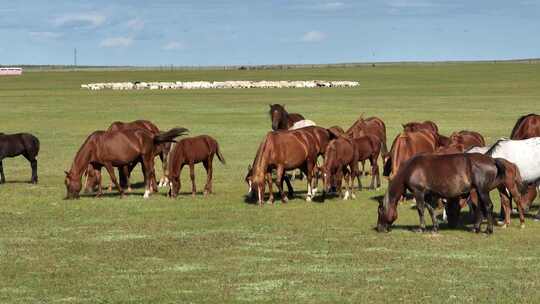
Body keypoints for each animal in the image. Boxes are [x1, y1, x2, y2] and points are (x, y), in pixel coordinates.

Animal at [378, 153, 512, 234]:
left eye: (380, 212)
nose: (379, 228)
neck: (410, 169)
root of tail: (492, 160)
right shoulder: (427, 194)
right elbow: (430, 209)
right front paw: (435, 227)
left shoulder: (418, 192)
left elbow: (421, 209)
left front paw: (421, 228)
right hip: (478, 191)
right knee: (480, 208)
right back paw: (476, 228)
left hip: (483, 190)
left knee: (488, 206)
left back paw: (489, 230)